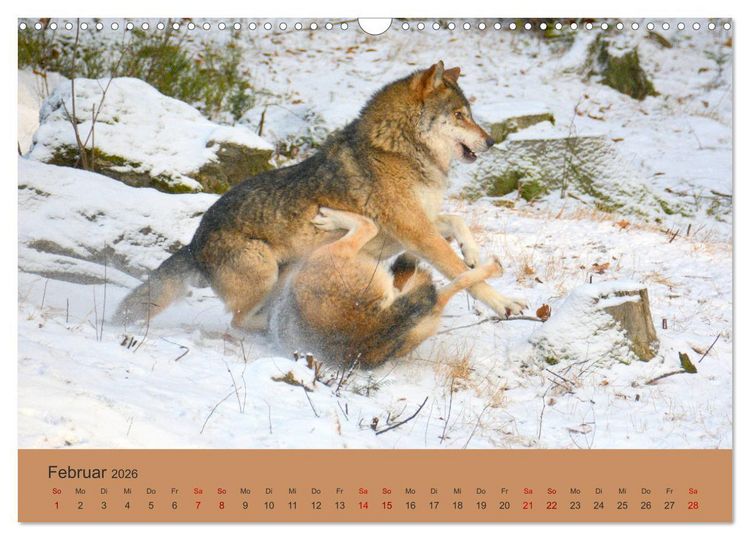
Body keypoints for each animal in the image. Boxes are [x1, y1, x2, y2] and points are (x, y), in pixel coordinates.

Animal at [114, 61, 527, 328]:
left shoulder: (418, 226)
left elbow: (457, 222)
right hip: (265, 273)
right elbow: (463, 275)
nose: (491, 141)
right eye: (459, 115)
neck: (397, 150)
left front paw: (472, 253)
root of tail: (192, 245)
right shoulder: (417, 232)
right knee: (238, 322)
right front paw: (505, 303)